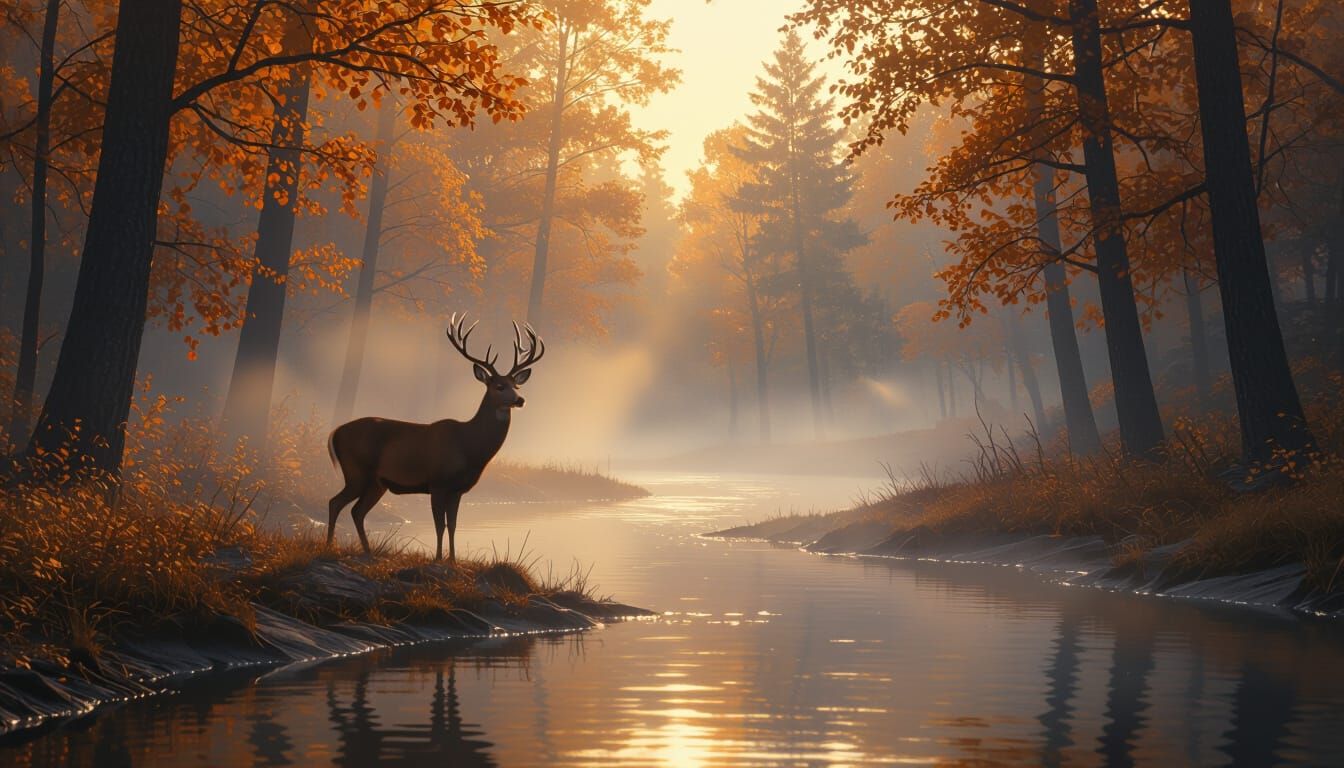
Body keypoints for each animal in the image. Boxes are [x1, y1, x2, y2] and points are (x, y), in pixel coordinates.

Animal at [326, 313, 544, 561]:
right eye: (499, 386)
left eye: (516, 385)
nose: (520, 400)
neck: (469, 446)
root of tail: (335, 433)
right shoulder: (438, 483)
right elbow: (440, 525)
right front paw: (439, 557)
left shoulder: (457, 489)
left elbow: (453, 525)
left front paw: (452, 559)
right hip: (356, 471)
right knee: (335, 503)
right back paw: (330, 546)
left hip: (377, 482)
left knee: (356, 511)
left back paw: (367, 551)